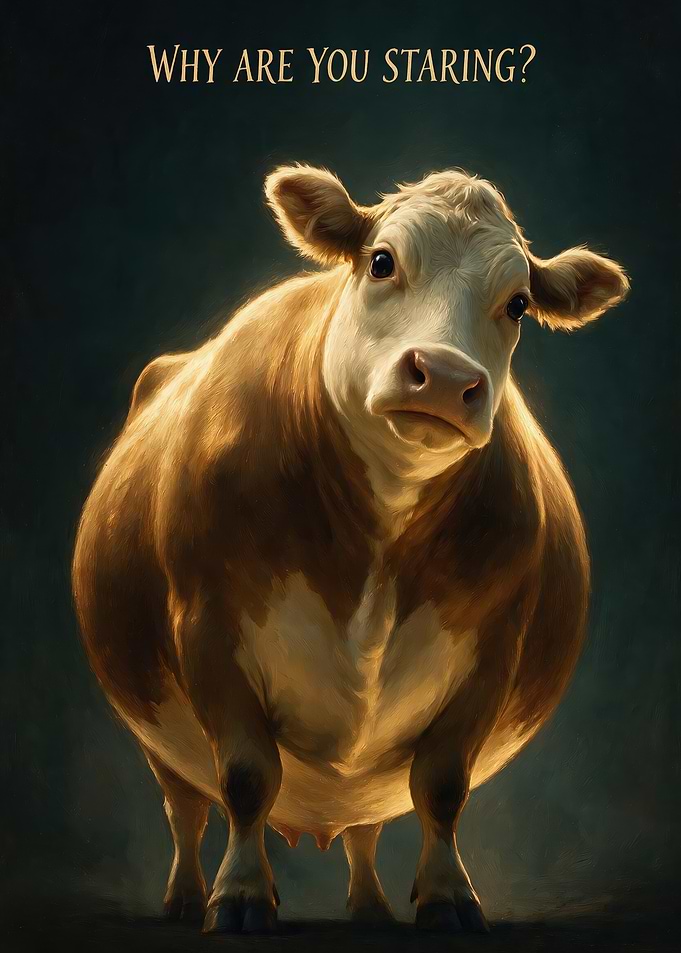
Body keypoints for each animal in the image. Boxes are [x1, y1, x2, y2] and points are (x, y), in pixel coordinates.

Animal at [72, 164, 629, 935]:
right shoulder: (206, 623)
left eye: (517, 303)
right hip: (159, 740)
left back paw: (369, 907)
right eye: (382, 261)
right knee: (185, 809)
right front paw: (239, 895)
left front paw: (448, 897)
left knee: (364, 824)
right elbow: (246, 777)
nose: (447, 378)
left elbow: (442, 786)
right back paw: (183, 899)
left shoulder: (494, 649)